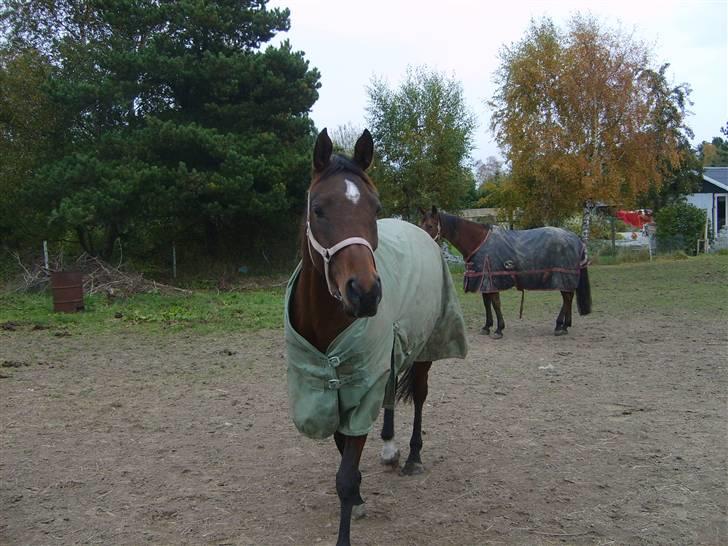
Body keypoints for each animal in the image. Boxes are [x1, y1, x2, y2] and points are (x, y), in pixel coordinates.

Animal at [284, 130, 466, 540]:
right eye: (318, 208)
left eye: (374, 206)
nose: (365, 292)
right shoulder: (332, 388)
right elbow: (343, 451)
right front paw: (360, 498)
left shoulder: (360, 386)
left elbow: (345, 474)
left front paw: (351, 510)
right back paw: (389, 447)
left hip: (425, 348)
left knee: (419, 397)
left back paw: (412, 455)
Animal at [420, 206, 592, 338]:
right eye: (421, 224)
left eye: (430, 225)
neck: (479, 241)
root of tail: (575, 238)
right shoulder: (484, 280)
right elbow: (487, 303)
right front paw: (487, 327)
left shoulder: (492, 279)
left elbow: (495, 304)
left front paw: (499, 329)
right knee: (568, 298)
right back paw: (564, 325)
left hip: (563, 276)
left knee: (567, 298)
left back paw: (560, 326)